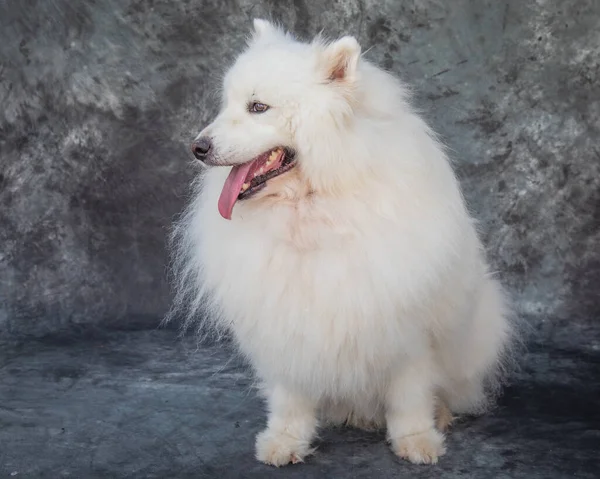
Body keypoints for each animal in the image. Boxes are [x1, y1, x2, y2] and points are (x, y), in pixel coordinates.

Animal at [169, 19, 516, 468]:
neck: (313, 205)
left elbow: (409, 396)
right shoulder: (283, 320)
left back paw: (438, 415)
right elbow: (290, 398)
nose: (197, 147)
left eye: (258, 107)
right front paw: (284, 442)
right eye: (226, 104)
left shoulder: (407, 330)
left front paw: (417, 441)